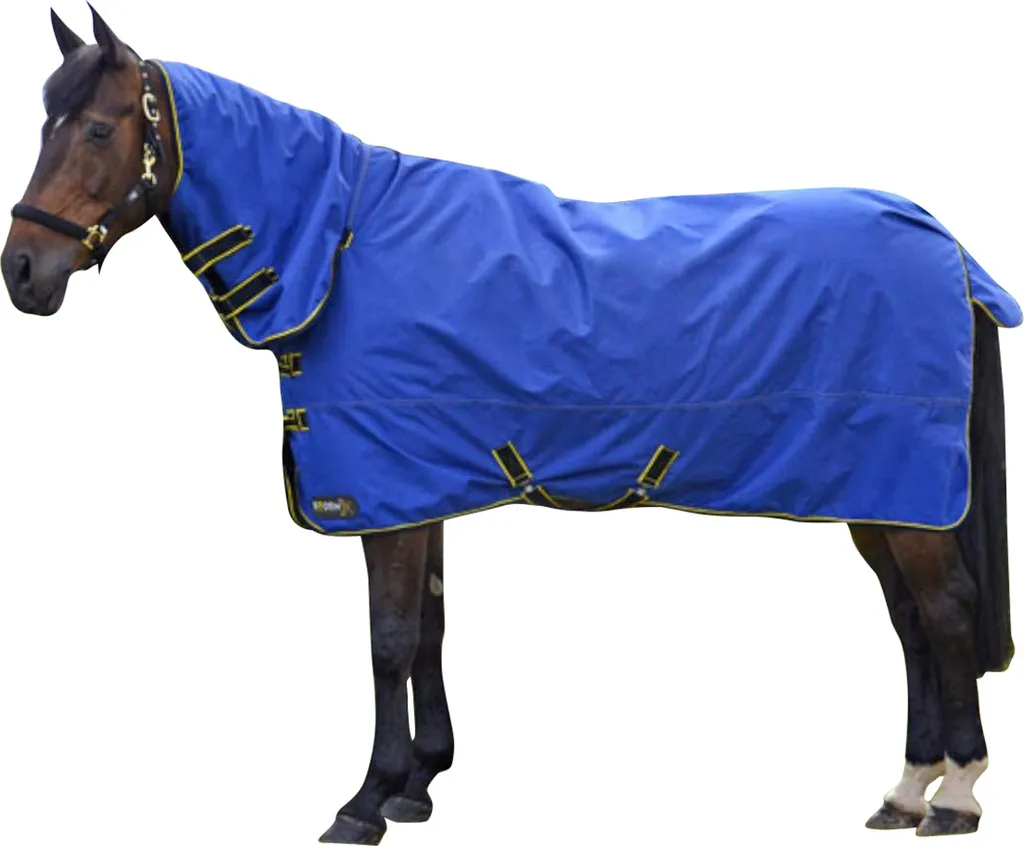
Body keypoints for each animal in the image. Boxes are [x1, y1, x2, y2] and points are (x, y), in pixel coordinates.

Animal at [2, 7, 1017, 844]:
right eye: (43, 124)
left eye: (97, 128)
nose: (22, 272)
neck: (341, 249)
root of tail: (949, 246)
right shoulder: (422, 485)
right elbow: (432, 626)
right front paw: (419, 784)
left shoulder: (383, 489)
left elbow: (387, 639)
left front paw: (363, 803)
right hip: (876, 494)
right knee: (910, 621)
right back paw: (907, 790)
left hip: (903, 489)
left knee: (945, 613)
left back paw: (958, 796)